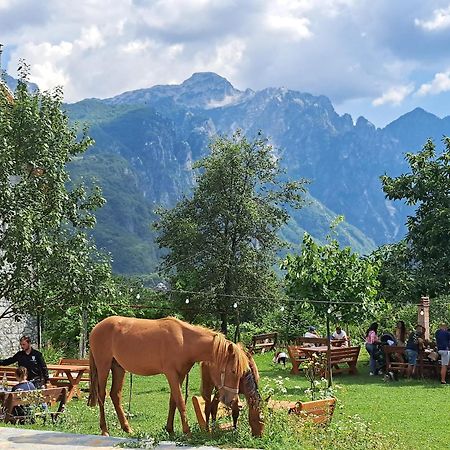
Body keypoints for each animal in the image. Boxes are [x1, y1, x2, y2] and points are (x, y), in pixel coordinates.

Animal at [88, 316, 250, 436]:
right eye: (233, 371)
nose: (233, 401)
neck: (184, 341)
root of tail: (96, 328)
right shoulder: (171, 374)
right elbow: (180, 401)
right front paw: (187, 431)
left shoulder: (180, 375)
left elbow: (173, 401)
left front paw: (170, 429)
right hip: (104, 366)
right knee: (102, 395)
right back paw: (104, 430)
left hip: (118, 368)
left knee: (115, 395)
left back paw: (127, 428)